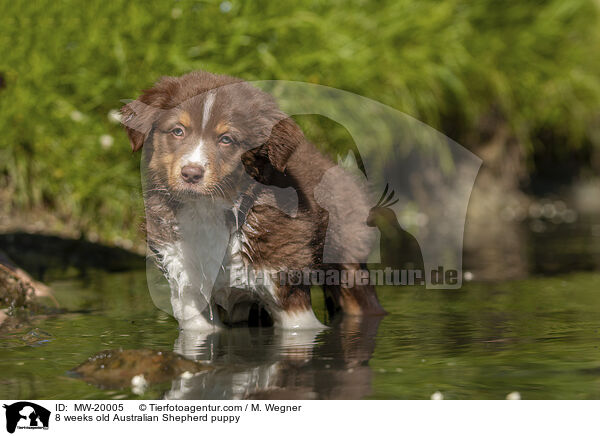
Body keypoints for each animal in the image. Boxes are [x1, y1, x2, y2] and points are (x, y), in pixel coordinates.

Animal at [122, 70, 384, 330]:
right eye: (178, 131)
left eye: (226, 139)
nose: (191, 174)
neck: (208, 211)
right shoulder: (188, 290)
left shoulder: (286, 288)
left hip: (347, 260)